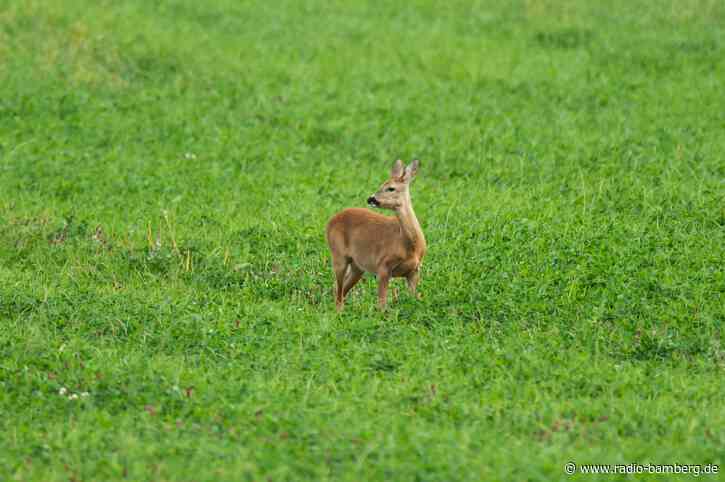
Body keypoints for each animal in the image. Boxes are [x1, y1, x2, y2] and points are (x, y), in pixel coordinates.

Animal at [325, 159, 426, 311]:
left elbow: (414, 298)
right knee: (338, 288)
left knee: (339, 288)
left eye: (390, 188)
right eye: (381, 185)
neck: (409, 245)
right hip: (338, 254)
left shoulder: (414, 271)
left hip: (357, 266)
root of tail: (331, 221)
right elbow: (381, 304)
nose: (371, 199)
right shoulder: (383, 266)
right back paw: (339, 311)